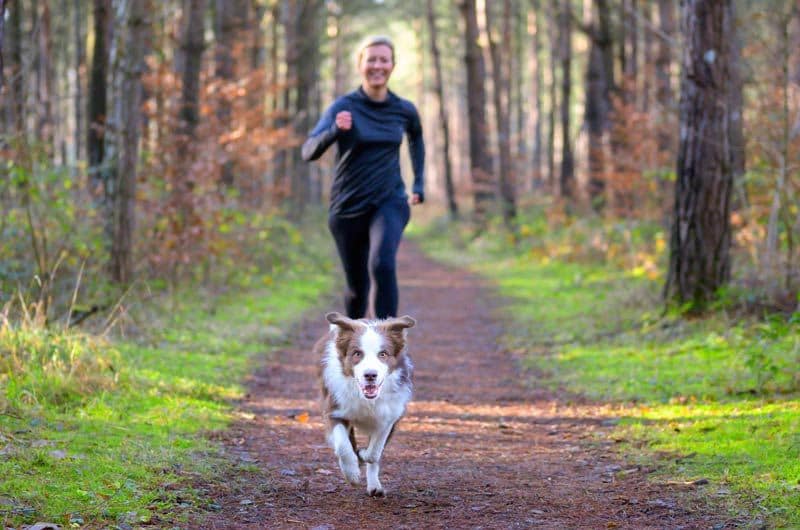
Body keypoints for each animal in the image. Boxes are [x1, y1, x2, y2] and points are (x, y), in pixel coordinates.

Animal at [316, 310, 416, 496]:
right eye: (357, 353)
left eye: (383, 354)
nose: (370, 375)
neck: (366, 399)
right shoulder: (334, 409)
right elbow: (343, 446)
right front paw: (352, 473)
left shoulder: (389, 416)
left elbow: (374, 452)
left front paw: (363, 455)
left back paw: (374, 486)